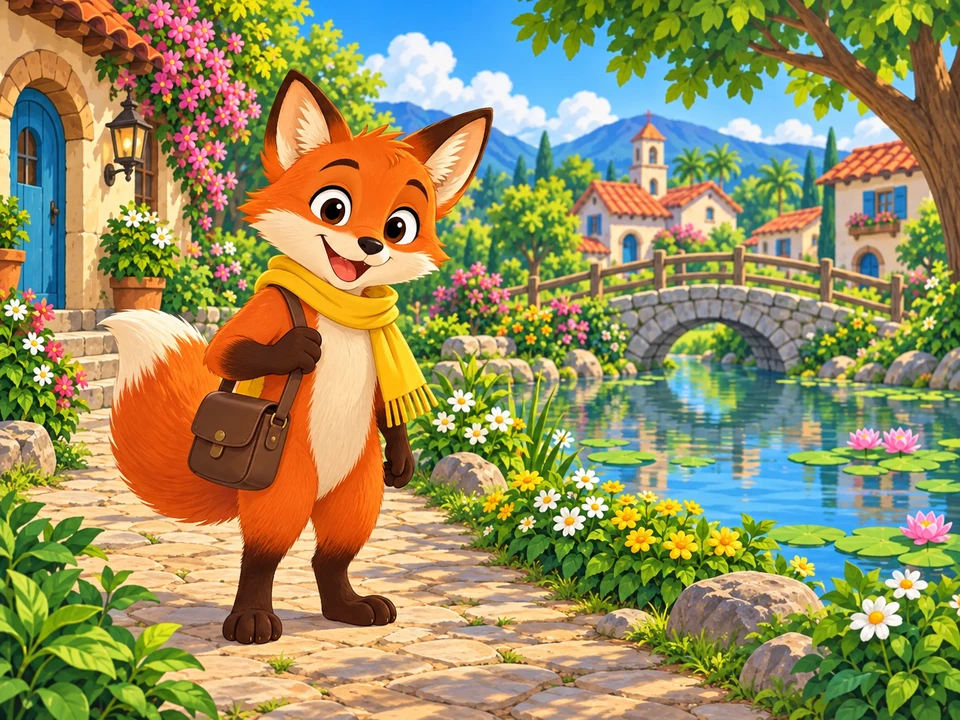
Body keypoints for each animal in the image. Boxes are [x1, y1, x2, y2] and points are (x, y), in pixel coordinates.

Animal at [101, 70, 492, 644]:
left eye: (400, 225)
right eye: (334, 207)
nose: (371, 244)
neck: (342, 308)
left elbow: (388, 406)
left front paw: (402, 458)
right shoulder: (267, 311)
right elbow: (225, 354)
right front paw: (297, 349)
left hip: (359, 489)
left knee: (333, 554)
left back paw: (349, 607)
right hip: (283, 482)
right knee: (264, 552)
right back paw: (252, 620)